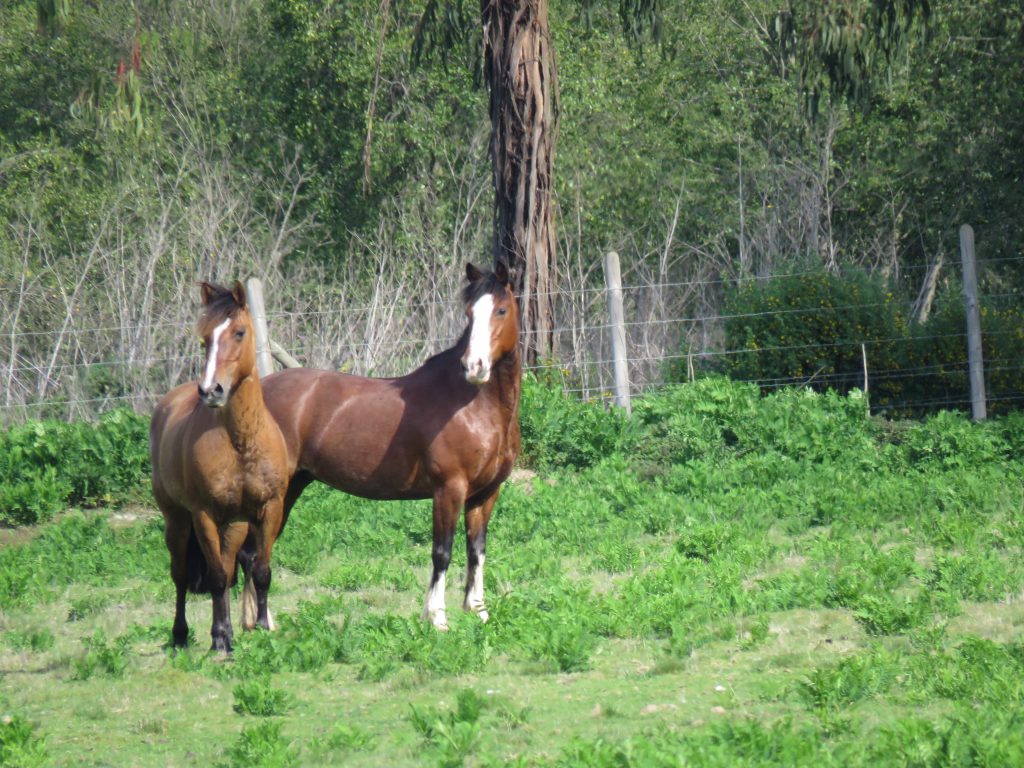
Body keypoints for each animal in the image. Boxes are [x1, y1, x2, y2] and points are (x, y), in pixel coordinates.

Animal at [146, 280, 288, 651]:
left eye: (239, 332)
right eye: (204, 339)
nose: (211, 390)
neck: (241, 442)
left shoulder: (269, 509)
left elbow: (260, 572)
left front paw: (262, 626)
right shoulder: (203, 515)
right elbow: (215, 578)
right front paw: (220, 641)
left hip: (234, 526)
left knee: (224, 567)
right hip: (177, 521)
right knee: (183, 575)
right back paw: (183, 635)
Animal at [260, 264, 524, 630]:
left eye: (501, 310)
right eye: (469, 314)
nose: (475, 367)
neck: (475, 406)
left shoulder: (486, 493)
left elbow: (477, 548)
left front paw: (478, 610)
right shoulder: (449, 489)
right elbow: (442, 551)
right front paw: (437, 618)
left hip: (292, 486)